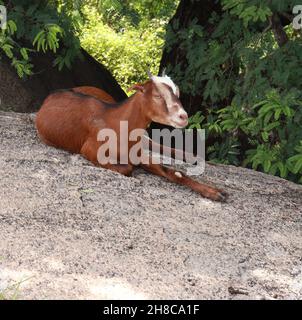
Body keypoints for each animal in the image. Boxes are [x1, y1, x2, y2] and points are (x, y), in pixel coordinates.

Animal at [36, 74, 226, 201]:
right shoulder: (90, 150)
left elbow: (174, 172)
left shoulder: (138, 152)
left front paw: (216, 192)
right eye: (157, 95)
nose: (183, 116)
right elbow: (128, 169)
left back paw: (191, 157)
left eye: (177, 94)